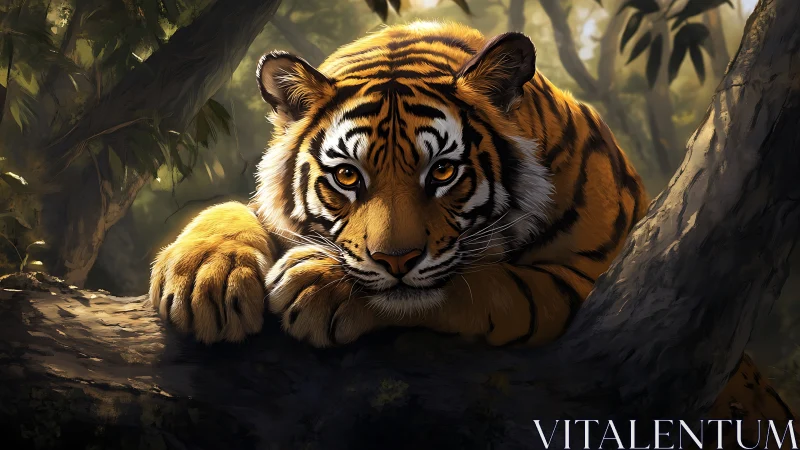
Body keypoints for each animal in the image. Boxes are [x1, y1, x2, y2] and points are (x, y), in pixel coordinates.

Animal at [148, 21, 796, 445]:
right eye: (348, 176)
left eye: (442, 172)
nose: (396, 258)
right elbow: (231, 211)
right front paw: (206, 277)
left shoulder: (592, 279)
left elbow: (476, 284)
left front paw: (322, 286)